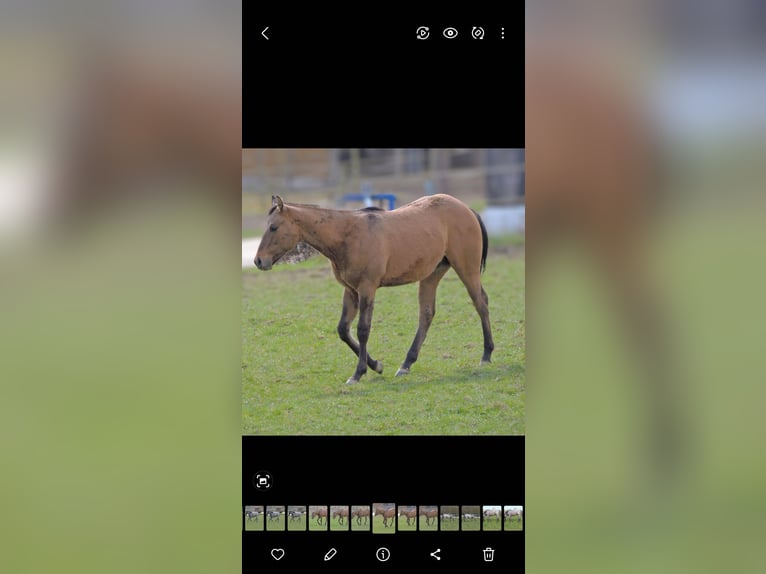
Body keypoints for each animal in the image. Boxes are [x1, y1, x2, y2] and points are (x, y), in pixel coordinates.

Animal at [254, 194, 494, 385]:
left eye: (273, 227)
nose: (258, 261)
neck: (347, 234)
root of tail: (467, 209)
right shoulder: (350, 290)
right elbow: (343, 329)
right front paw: (376, 365)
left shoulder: (367, 288)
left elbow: (363, 329)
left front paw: (358, 374)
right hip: (431, 275)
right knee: (426, 314)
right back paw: (406, 364)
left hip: (467, 269)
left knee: (481, 303)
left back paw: (486, 355)